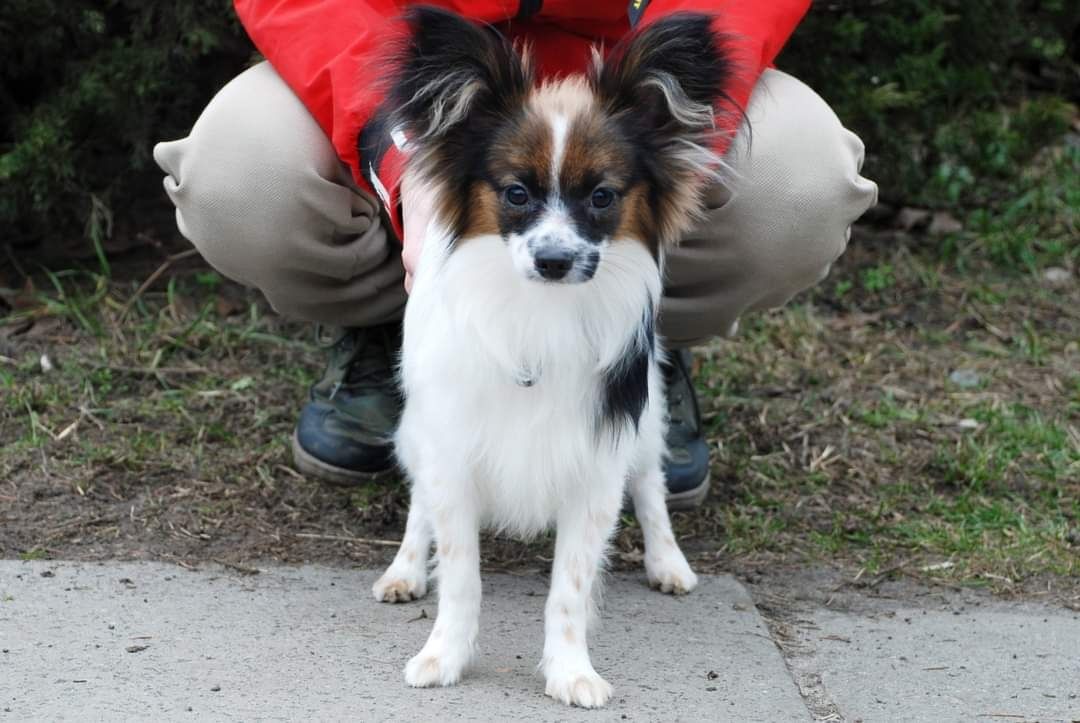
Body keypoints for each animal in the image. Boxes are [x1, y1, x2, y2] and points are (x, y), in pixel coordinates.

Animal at [371, 5, 734, 704]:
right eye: (516, 193)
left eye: (602, 196)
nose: (555, 260)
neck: (540, 314)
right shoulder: (451, 448)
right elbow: (460, 574)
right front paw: (444, 656)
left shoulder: (595, 465)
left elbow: (568, 589)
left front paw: (571, 671)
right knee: (419, 504)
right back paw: (404, 569)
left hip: (647, 421)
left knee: (650, 486)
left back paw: (668, 562)